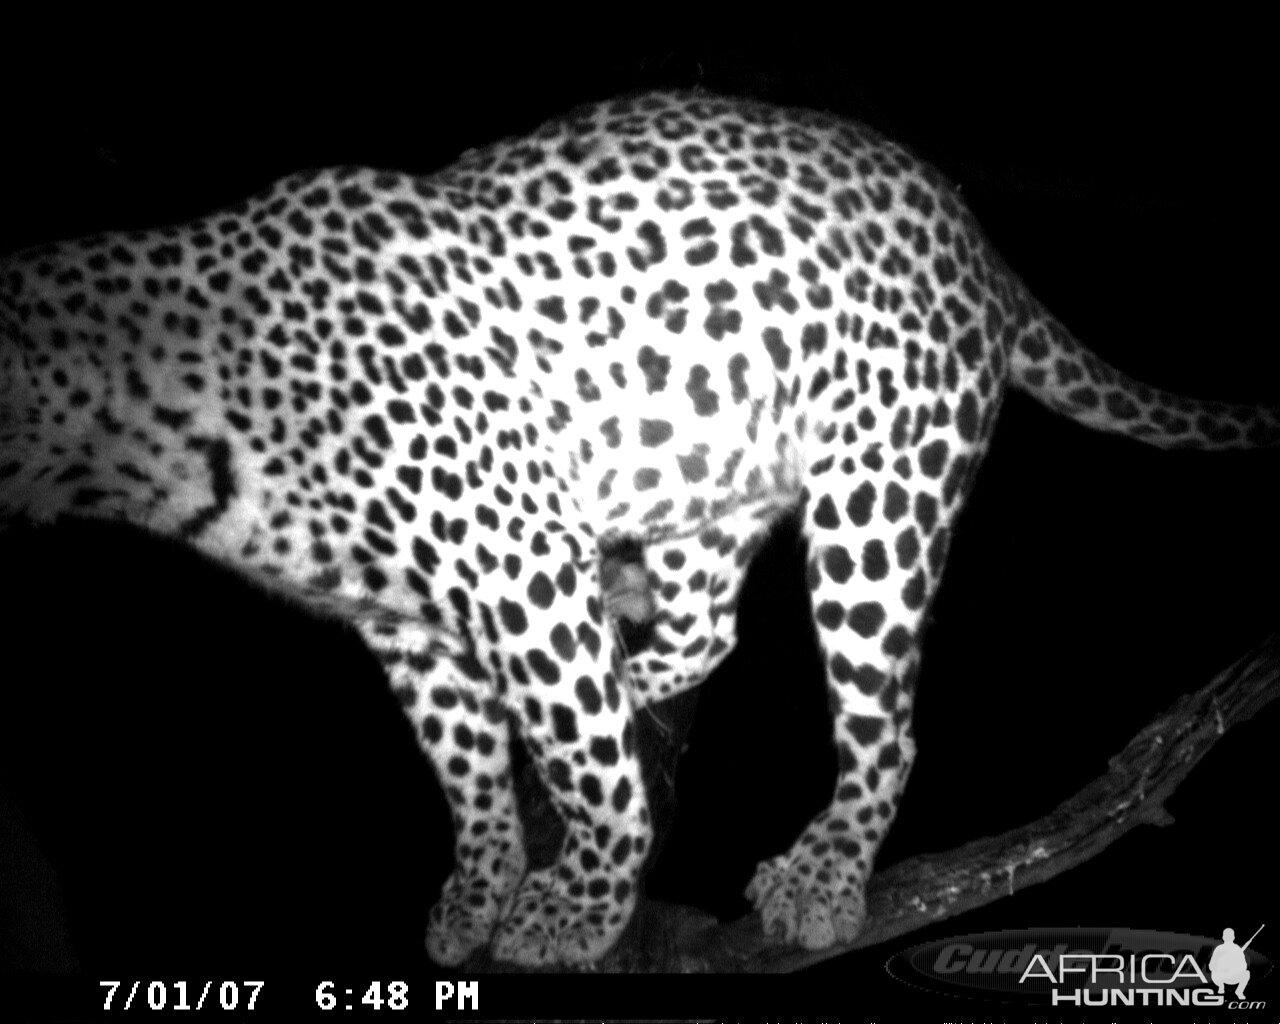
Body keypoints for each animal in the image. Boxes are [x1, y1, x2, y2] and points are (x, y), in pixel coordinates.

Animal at [0, 90, 1274, 967]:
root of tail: (975, 240)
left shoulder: (514, 562)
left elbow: (585, 760)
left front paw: (576, 904)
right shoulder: (400, 620)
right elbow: (462, 762)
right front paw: (477, 887)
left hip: (878, 496)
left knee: (883, 722)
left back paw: (823, 869)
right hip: (698, 468)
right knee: (707, 627)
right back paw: (641, 649)